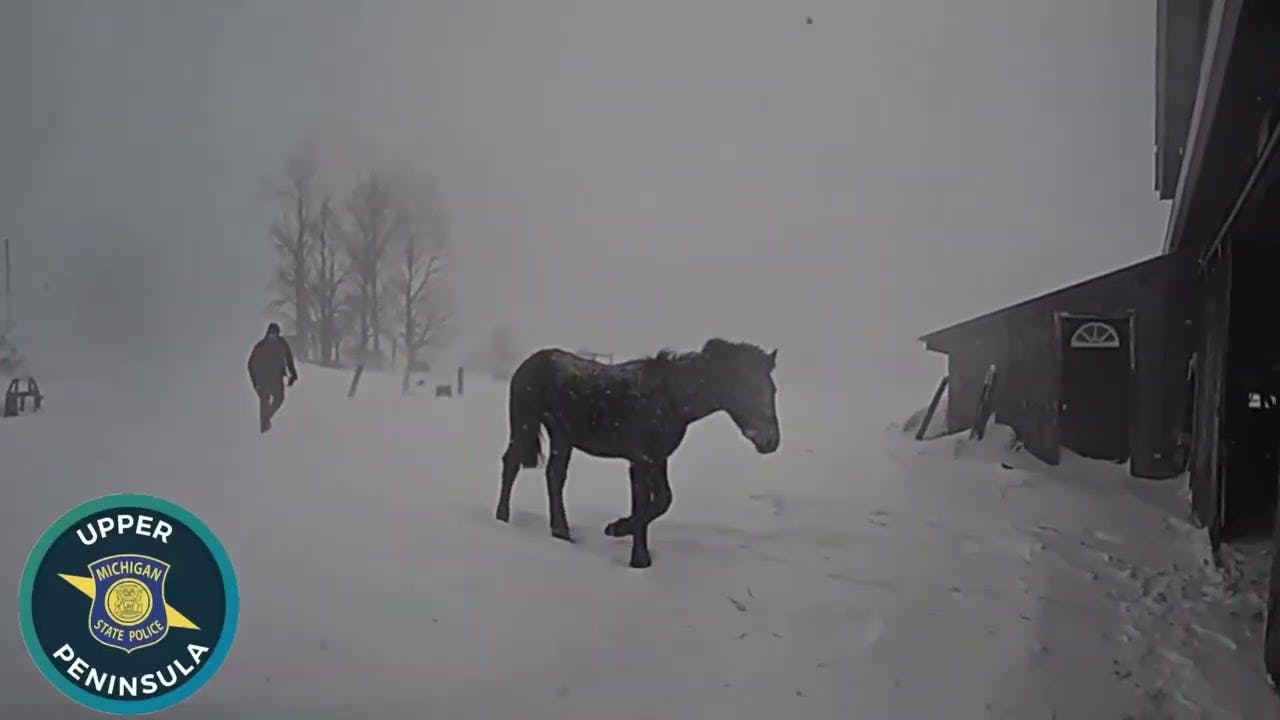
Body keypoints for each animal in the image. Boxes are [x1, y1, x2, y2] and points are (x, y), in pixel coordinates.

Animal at [495, 338, 781, 568]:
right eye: (744, 387)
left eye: (772, 390)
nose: (771, 441)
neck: (669, 398)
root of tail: (529, 363)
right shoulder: (641, 461)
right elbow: (645, 503)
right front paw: (635, 553)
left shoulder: (657, 459)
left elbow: (662, 500)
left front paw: (621, 531)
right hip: (525, 425)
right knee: (512, 464)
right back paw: (502, 517)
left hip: (561, 438)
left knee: (554, 477)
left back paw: (561, 532)